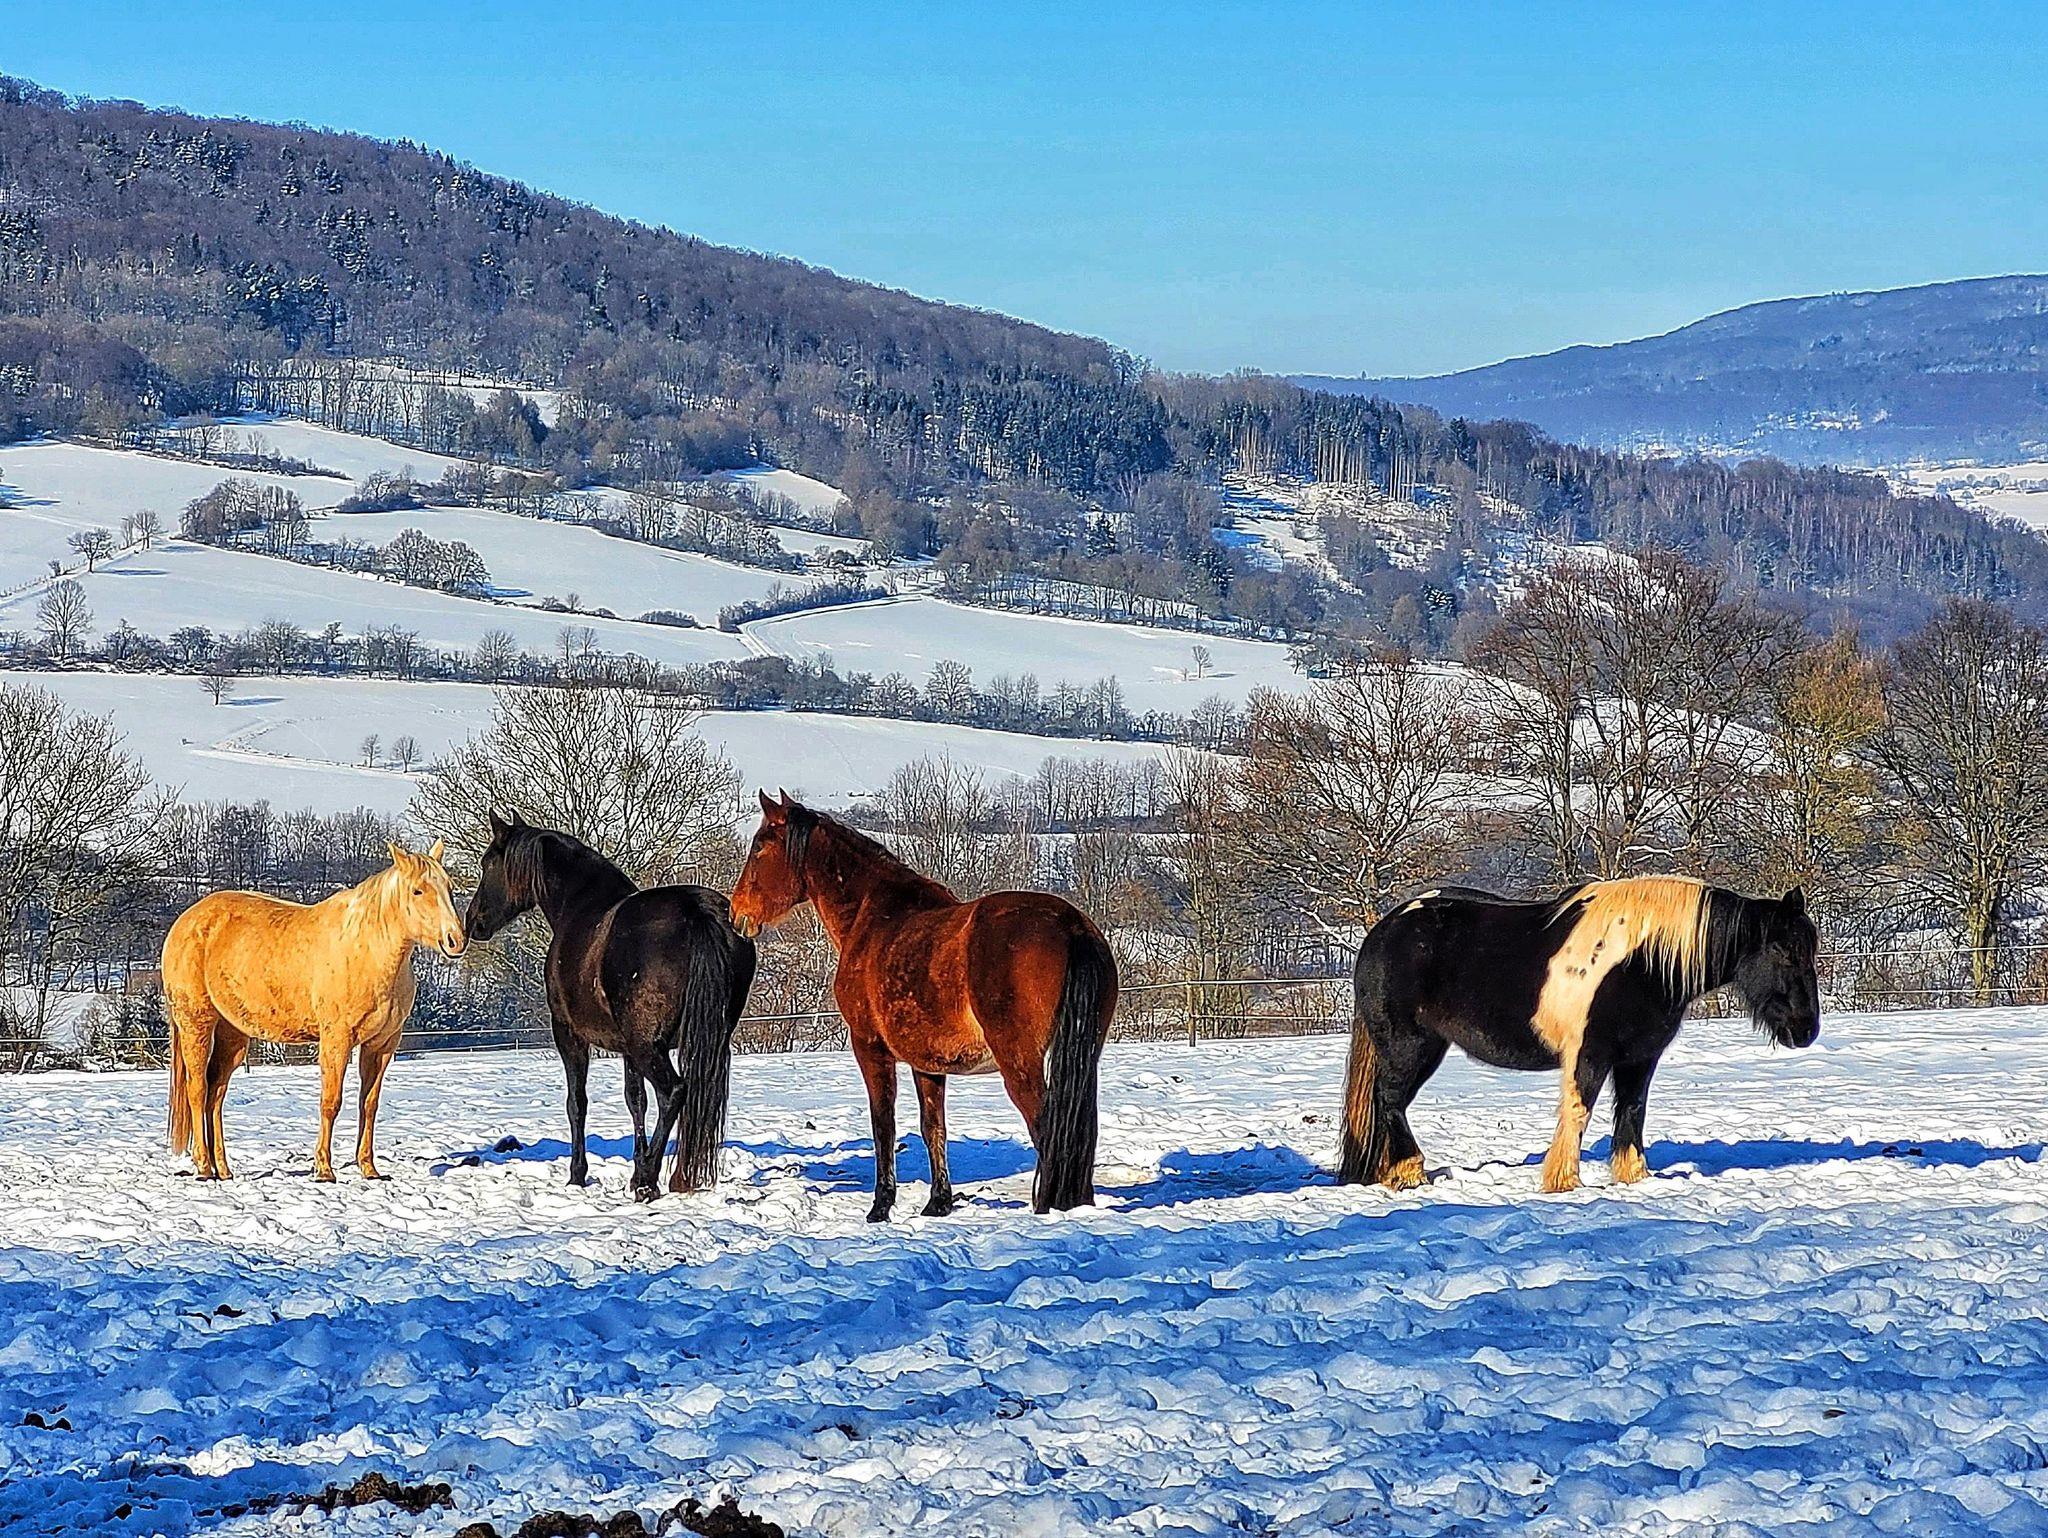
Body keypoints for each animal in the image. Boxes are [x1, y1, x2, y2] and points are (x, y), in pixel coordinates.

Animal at [162, 840, 467, 1182]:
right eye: (417, 890)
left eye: (449, 888)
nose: (456, 940)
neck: (367, 949)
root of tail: (185, 923)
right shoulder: (337, 1040)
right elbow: (331, 1102)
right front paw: (324, 1169)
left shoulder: (382, 1045)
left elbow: (369, 1104)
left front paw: (369, 1169)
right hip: (196, 1023)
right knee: (198, 1089)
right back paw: (204, 1165)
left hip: (233, 1035)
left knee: (215, 1093)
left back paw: (223, 1169)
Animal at [463, 813, 757, 1200]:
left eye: (489, 863)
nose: (473, 922)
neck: (580, 907)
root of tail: (697, 912)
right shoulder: (628, 1047)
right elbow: (636, 1101)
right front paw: (633, 1169)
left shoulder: (570, 1035)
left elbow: (577, 1103)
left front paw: (579, 1174)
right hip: (698, 1041)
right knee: (693, 1095)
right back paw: (676, 1178)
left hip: (649, 1047)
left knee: (674, 1093)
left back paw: (649, 1179)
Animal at [730, 791, 1118, 1219]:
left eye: (759, 848)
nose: (737, 914)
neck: (871, 917)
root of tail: (1071, 926)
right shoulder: (927, 1063)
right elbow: (933, 1126)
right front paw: (938, 1202)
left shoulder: (870, 1048)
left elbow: (884, 1124)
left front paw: (881, 1206)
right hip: (1084, 1057)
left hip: (1019, 1062)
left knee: (1047, 1126)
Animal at [1339, 875, 1820, 1193]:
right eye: (1783, 950)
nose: (1807, 1030)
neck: (1642, 960)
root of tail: (1382, 931)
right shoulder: (1590, 1054)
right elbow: (1579, 1110)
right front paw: (1562, 1181)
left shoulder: (1639, 1057)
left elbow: (1633, 1111)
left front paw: (1633, 1176)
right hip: (1411, 1046)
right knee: (1390, 1100)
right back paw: (1409, 1172)